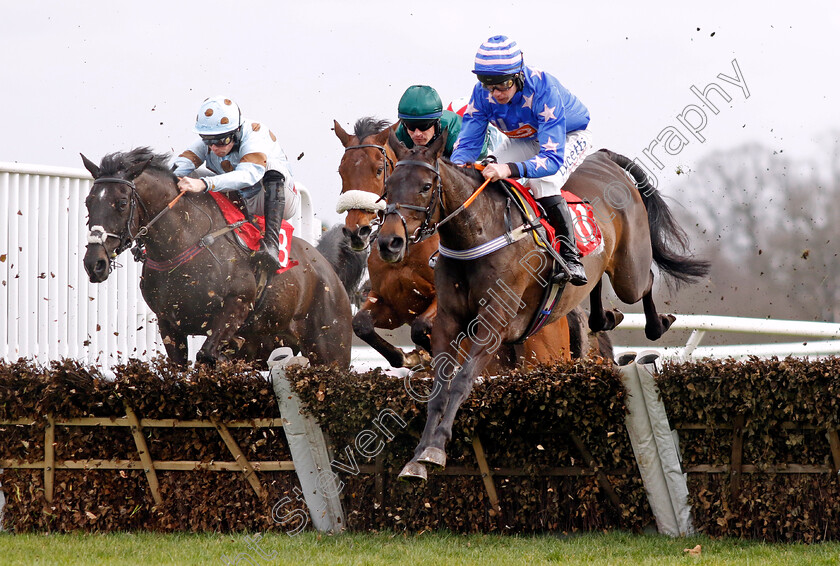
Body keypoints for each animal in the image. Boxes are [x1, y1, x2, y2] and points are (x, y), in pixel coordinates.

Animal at [81, 148, 352, 368]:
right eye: (88, 202)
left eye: (122, 202)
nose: (94, 263)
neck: (184, 243)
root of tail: (328, 270)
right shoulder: (168, 324)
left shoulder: (236, 306)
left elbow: (207, 354)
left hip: (331, 351)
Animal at [378, 133, 708, 484]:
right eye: (389, 185)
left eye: (426, 186)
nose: (389, 243)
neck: (476, 233)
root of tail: (603, 158)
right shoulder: (448, 321)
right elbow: (439, 388)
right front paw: (418, 457)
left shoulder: (495, 322)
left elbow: (462, 380)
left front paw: (436, 447)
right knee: (595, 285)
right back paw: (603, 315)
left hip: (628, 271)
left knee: (645, 282)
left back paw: (657, 323)